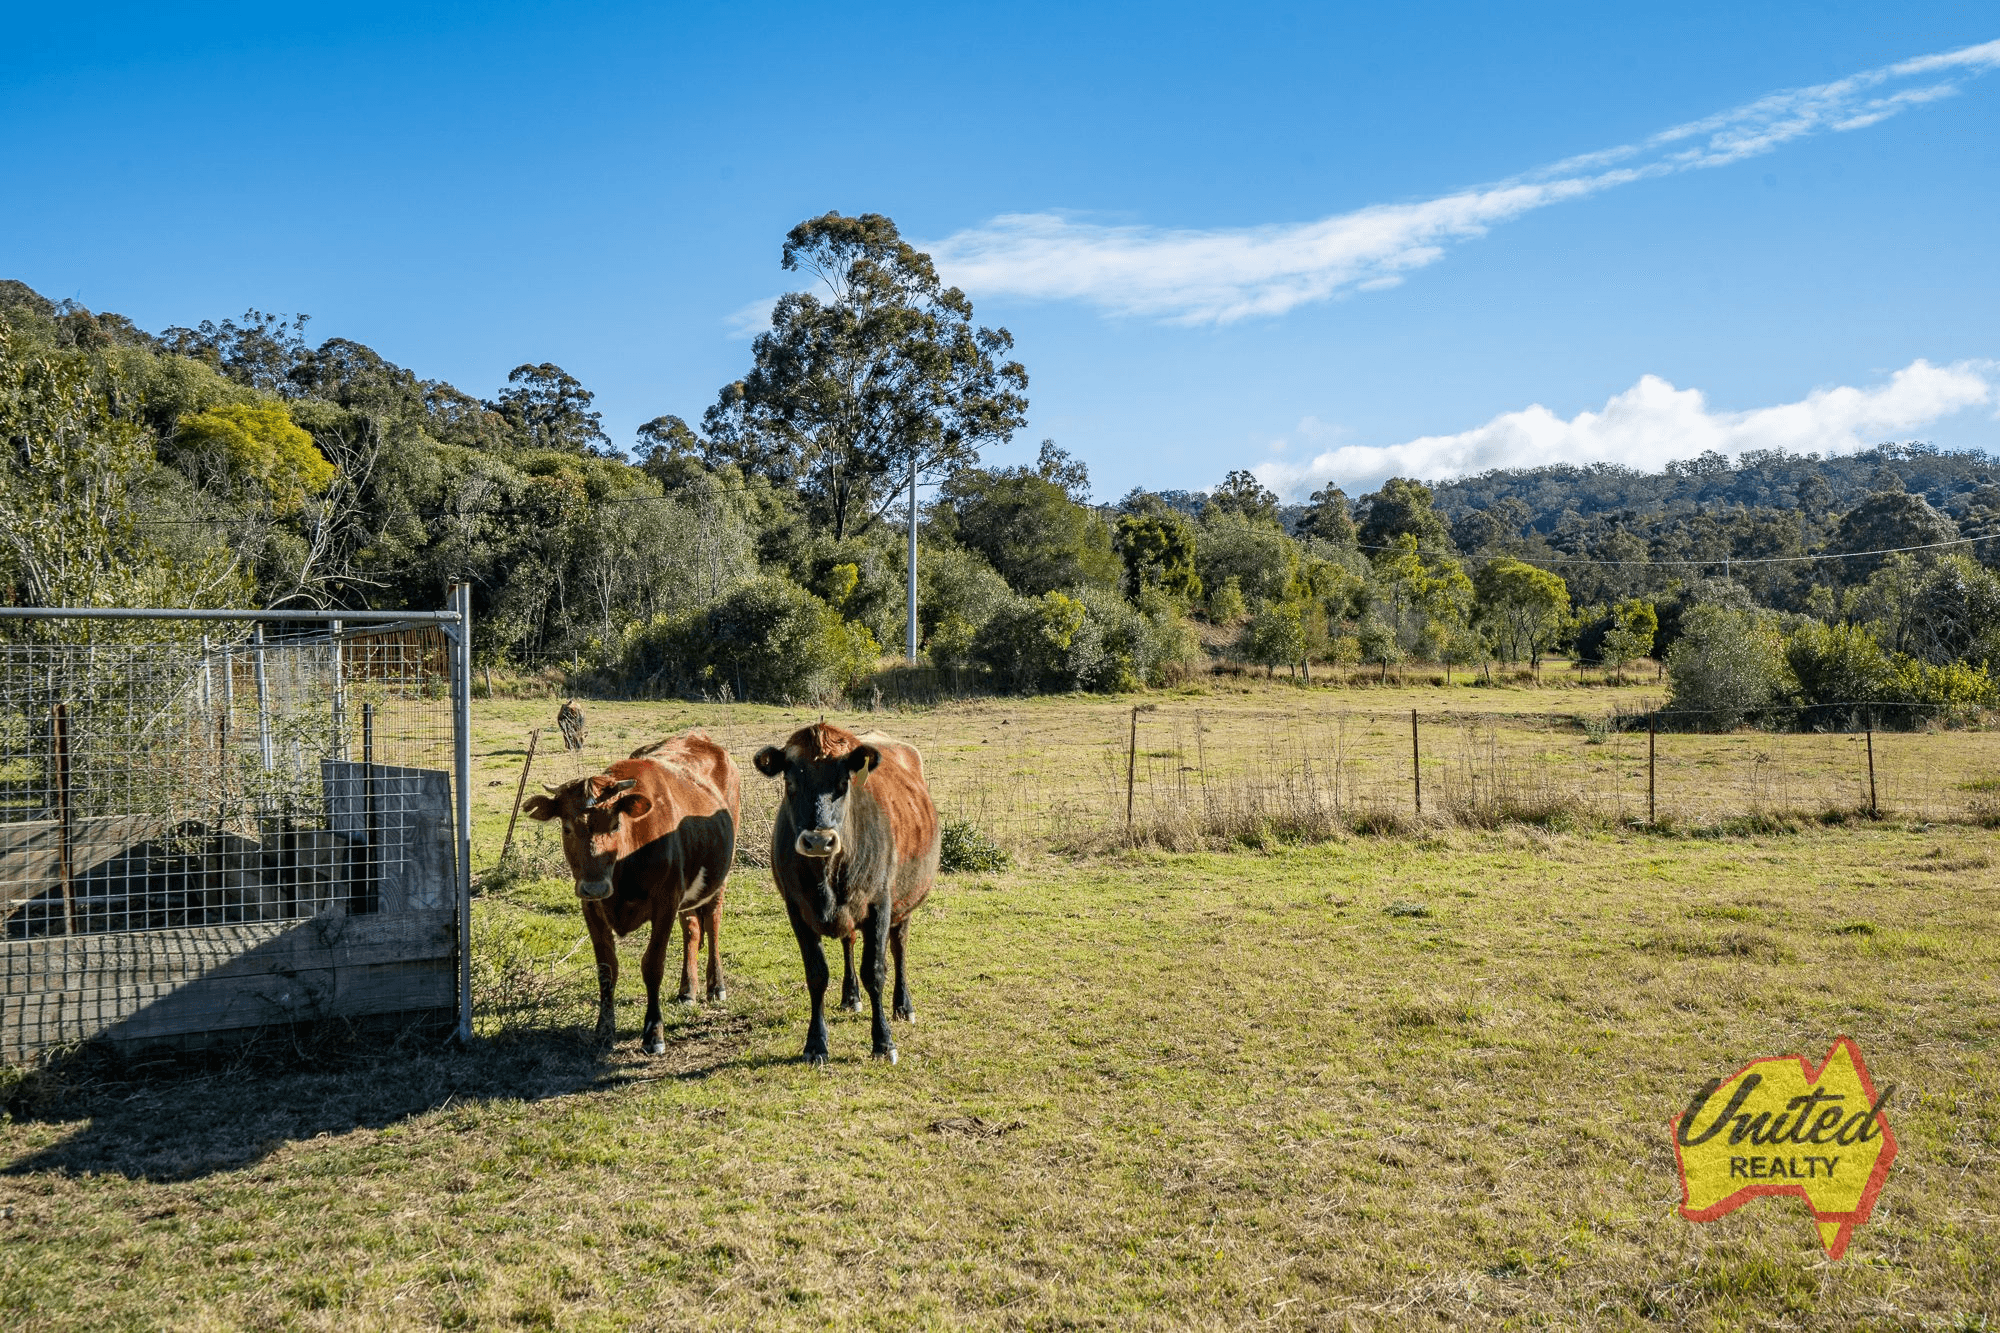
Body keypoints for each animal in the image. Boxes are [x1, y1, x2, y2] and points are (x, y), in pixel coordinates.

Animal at [520, 728, 740, 1048]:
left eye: (614, 824)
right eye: (567, 827)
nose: (595, 886)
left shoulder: (666, 902)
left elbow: (653, 965)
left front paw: (654, 1032)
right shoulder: (591, 907)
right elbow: (606, 968)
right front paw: (604, 1029)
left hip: (719, 878)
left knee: (712, 923)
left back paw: (716, 985)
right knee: (692, 929)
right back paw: (688, 990)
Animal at [752, 720, 940, 1064]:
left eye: (843, 782)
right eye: (790, 781)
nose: (818, 840)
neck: (825, 874)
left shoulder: (879, 905)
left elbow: (875, 971)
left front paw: (883, 1043)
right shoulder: (796, 909)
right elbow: (816, 974)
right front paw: (815, 1043)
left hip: (905, 903)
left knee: (899, 946)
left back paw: (903, 1005)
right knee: (849, 941)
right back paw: (850, 997)